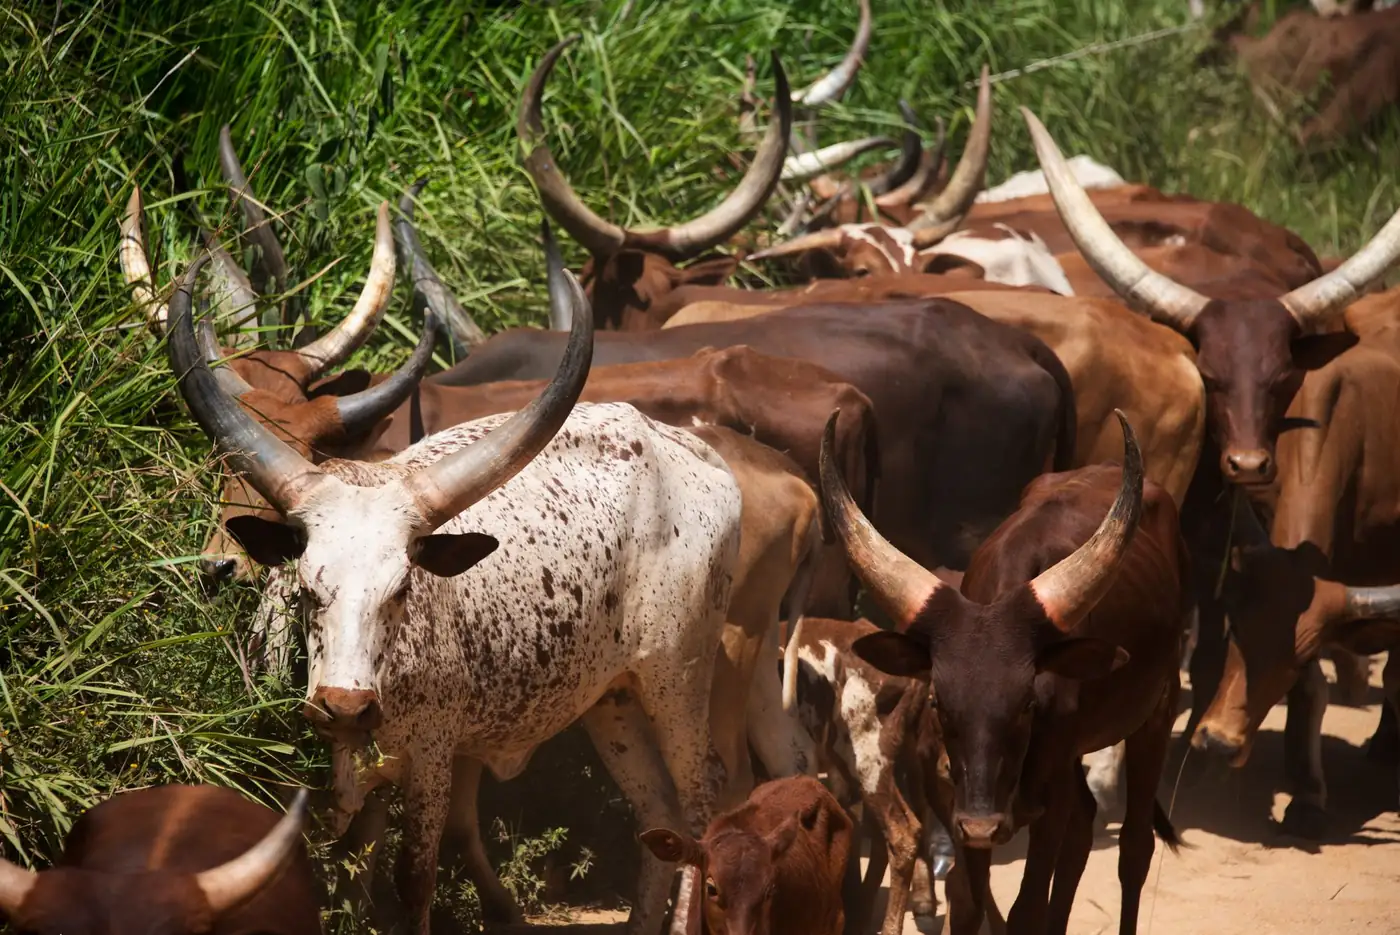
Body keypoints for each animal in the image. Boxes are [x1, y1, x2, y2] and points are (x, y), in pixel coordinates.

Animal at [168, 233, 752, 935]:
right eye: (308, 587)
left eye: (401, 590)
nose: (345, 705)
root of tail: (688, 449)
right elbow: (350, 877)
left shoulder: (432, 757)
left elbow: (412, 881)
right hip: (611, 700)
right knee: (658, 815)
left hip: (677, 678)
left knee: (699, 803)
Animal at [824, 412, 1187, 935]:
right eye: (937, 701)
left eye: (1027, 704)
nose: (982, 825)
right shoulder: (958, 802)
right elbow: (967, 900)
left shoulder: (1046, 795)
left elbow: (1025, 908)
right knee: (1083, 830)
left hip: (1157, 712)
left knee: (1134, 849)